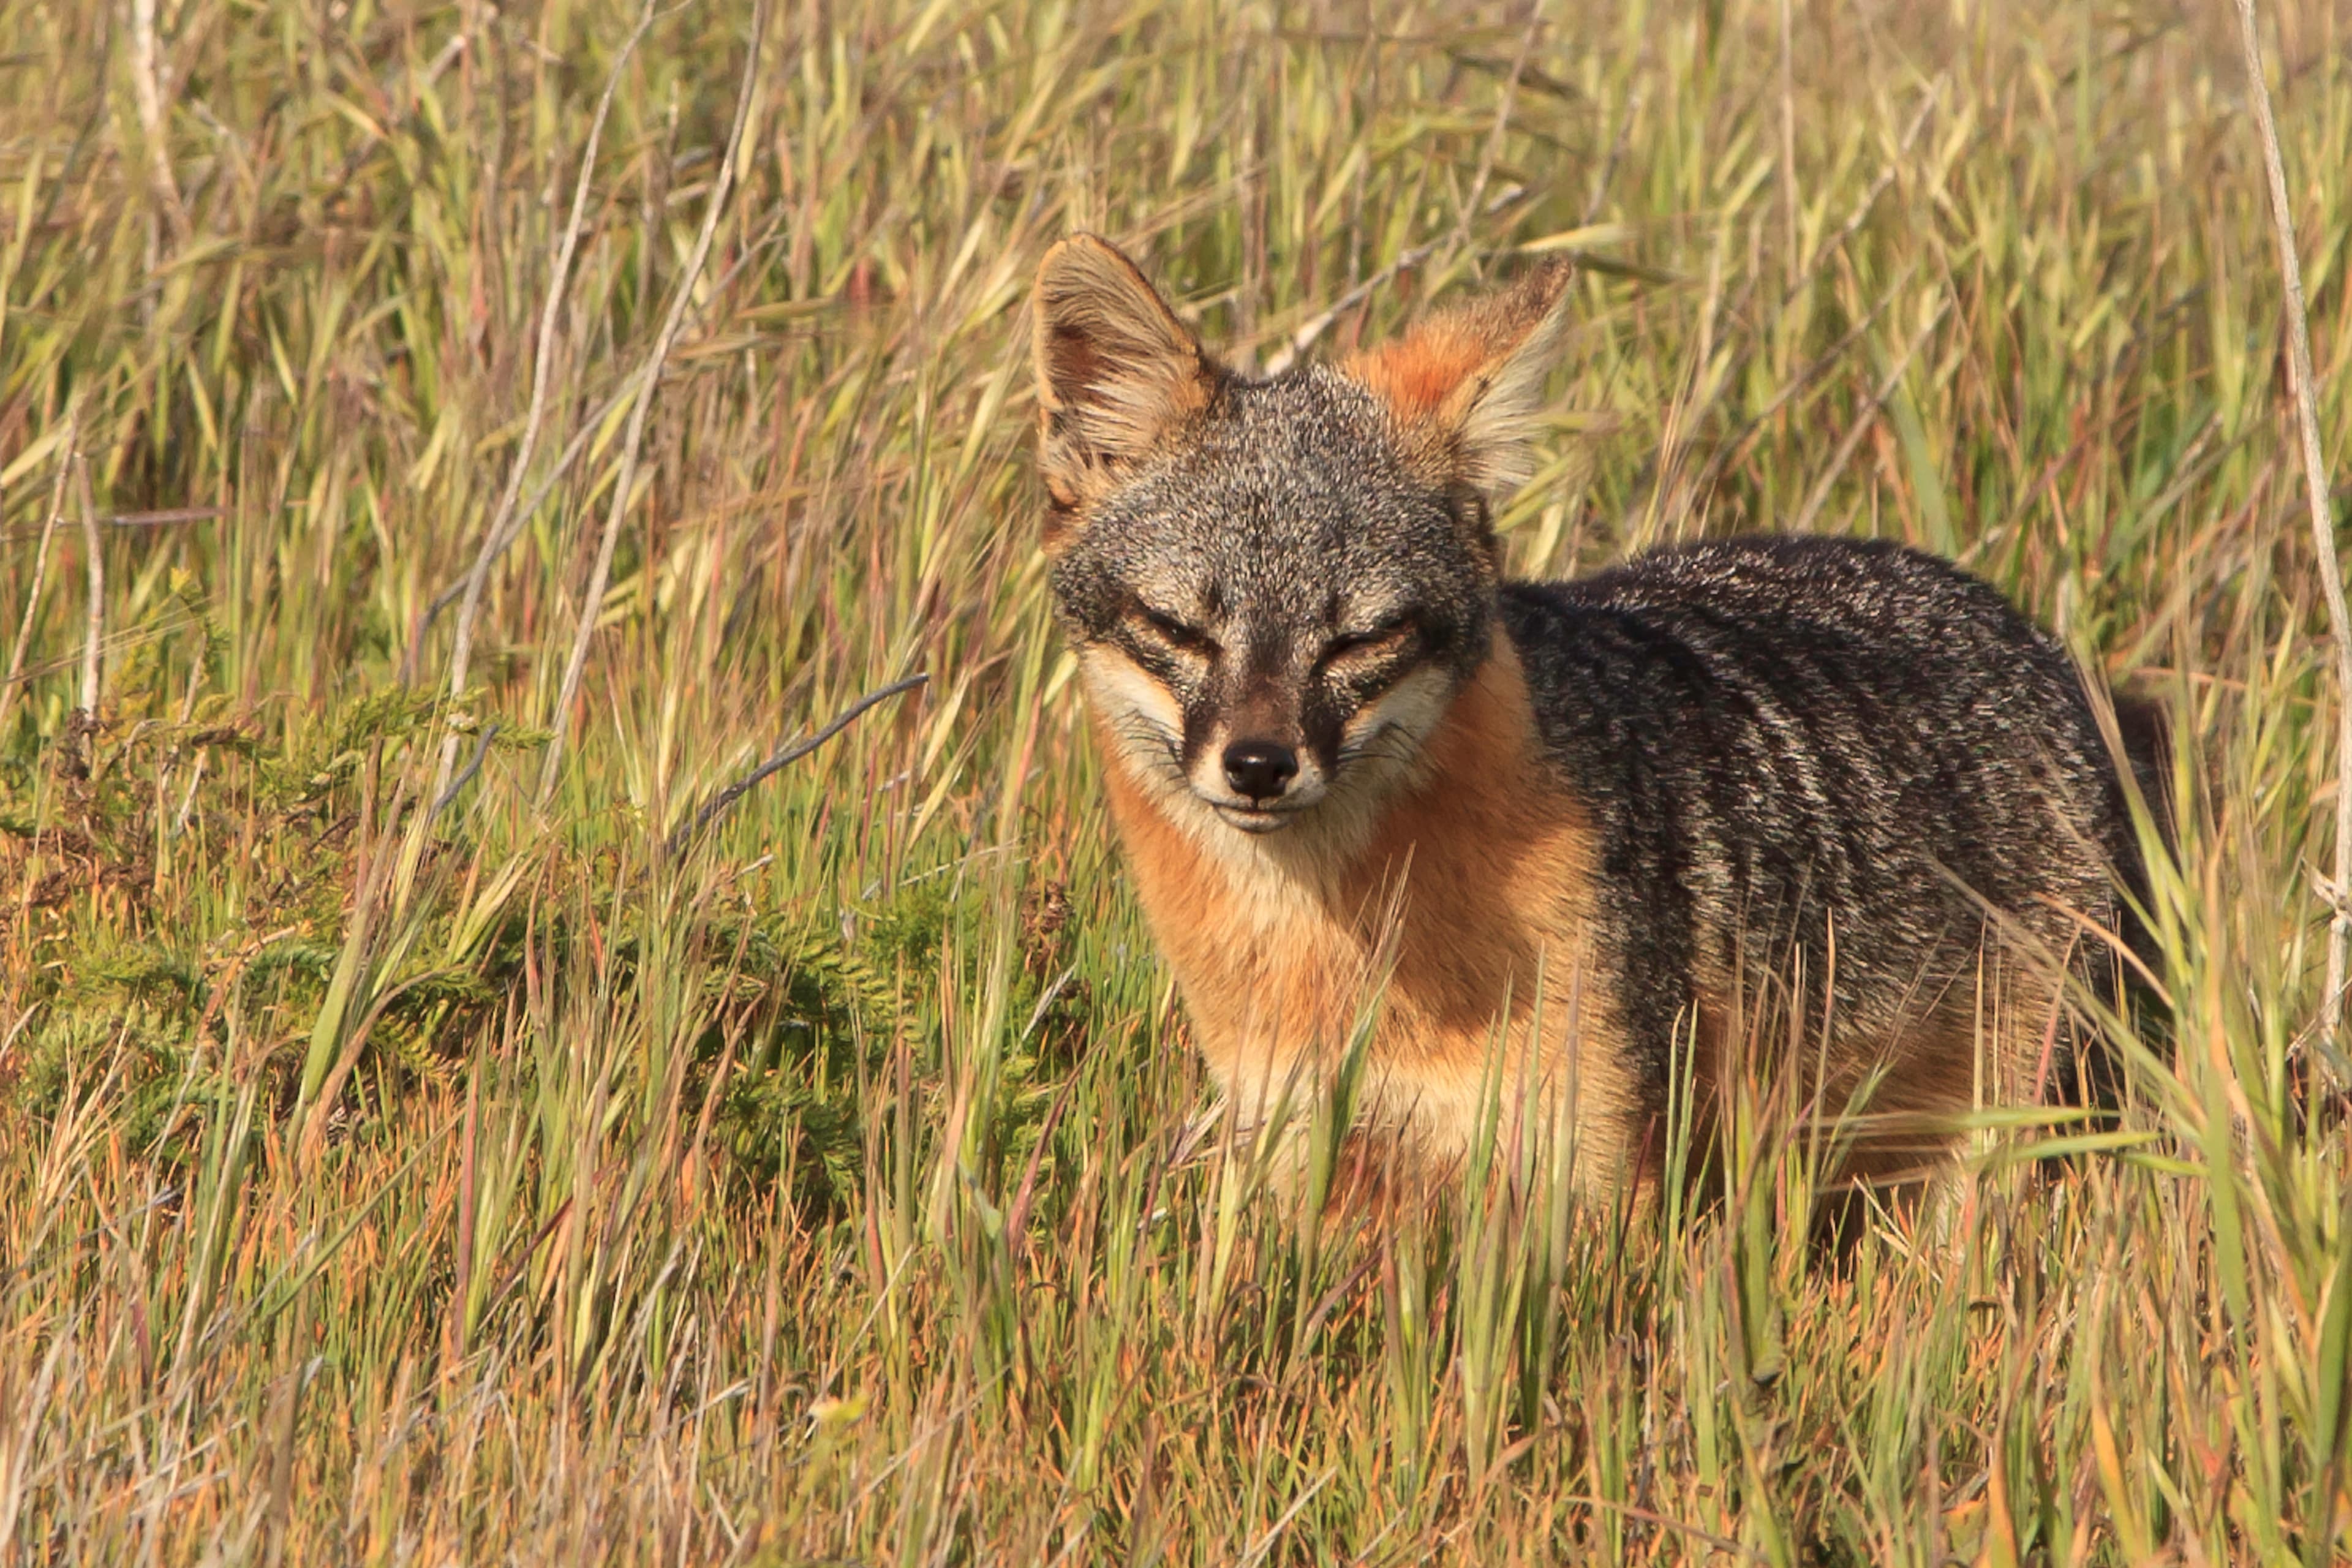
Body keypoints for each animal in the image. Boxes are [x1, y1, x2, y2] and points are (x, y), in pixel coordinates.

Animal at [1030, 232, 2162, 1206]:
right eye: (1178, 627)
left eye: (1360, 639)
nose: (1260, 765)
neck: (1328, 951)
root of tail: (2025, 629)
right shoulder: (1298, 1141)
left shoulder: (1590, 1167)